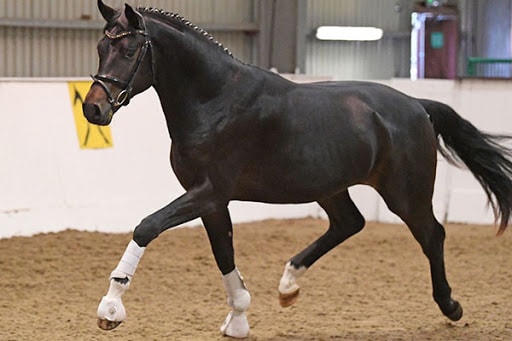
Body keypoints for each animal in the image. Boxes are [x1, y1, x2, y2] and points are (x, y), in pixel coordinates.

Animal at [84, 1, 512, 338]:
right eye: (101, 47)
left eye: (128, 50)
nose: (93, 108)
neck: (215, 99)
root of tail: (417, 105)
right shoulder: (211, 201)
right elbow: (224, 253)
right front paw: (238, 319)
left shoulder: (208, 192)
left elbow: (147, 226)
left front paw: (111, 308)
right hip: (331, 187)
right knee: (350, 223)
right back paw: (288, 285)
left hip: (406, 194)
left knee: (432, 235)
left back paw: (450, 306)